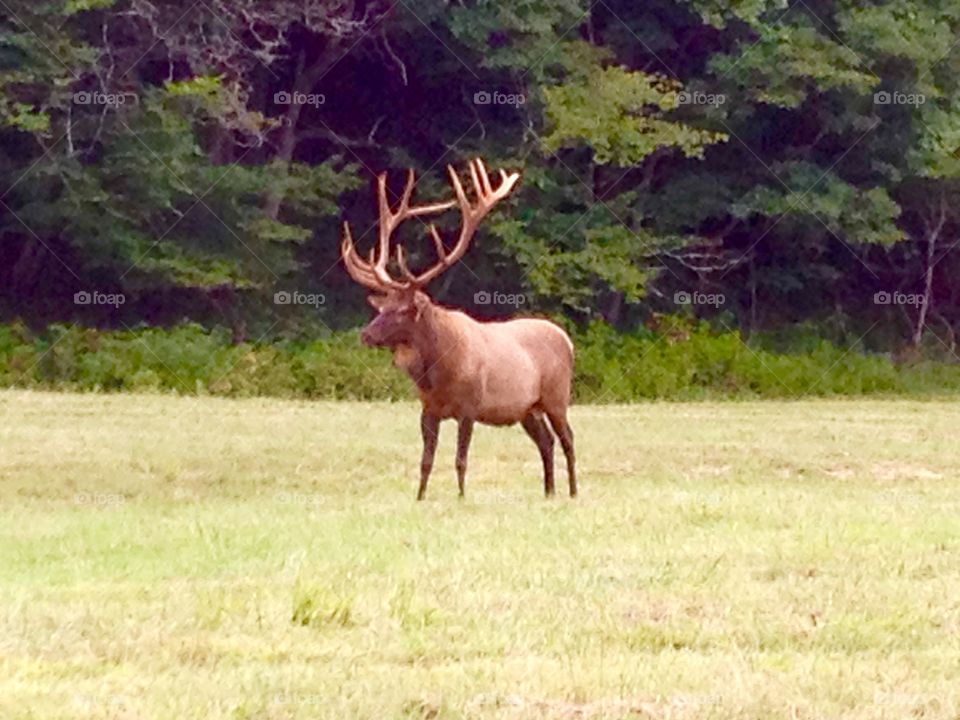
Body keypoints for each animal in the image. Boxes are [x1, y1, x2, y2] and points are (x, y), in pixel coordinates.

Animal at [342, 158, 572, 500]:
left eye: (401, 311)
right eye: (381, 308)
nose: (366, 334)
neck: (439, 372)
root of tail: (568, 340)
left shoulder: (469, 406)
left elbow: (461, 460)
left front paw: (462, 497)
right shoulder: (428, 409)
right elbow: (426, 460)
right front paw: (420, 497)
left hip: (557, 396)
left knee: (568, 439)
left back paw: (573, 492)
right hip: (527, 409)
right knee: (547, 441)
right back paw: (549, 492)